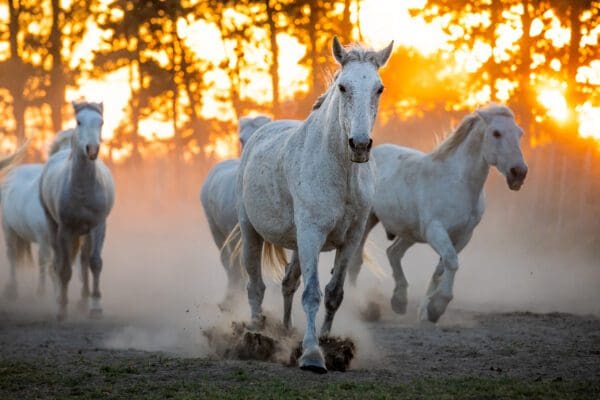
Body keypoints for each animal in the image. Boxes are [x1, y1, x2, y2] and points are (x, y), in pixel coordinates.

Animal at [1, 130, 72, 296]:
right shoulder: (43, 238)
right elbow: (46, 263)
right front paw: (43, 292)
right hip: (8, 230)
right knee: (12, 255)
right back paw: (12, 288)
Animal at [40, 101, 115, 322]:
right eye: (79, 121)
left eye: (101, 122)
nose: (92, 149)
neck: (82, 189)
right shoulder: (65, 229)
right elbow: (64, 269)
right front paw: (62, 309)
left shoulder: (98, 226)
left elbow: (95, 263)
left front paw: (96, 306)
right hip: (53, 226)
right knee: (57, 262)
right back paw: (60, 297)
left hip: (86, 232)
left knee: (83, 260)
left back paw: (84, 300)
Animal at [234, 37, 394, 372]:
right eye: (343, 86)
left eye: (379, 88)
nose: (360, 145)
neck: (340, 172)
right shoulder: (312, 234)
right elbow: (311, 294)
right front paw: (311, 355)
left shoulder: (351, 239)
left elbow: (333, 294)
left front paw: (327, 344)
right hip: (251, 232)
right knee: (256, 286)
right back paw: (255, 336)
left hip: (296, 244)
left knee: (287, 283)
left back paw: (284, 331)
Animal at [350, 105, 528, 322]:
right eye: (496, 133)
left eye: (519, 133)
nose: (519, 172)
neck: (459, 184)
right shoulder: (435, 230)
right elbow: (451, 261)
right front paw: (438, 305)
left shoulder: (463, 236)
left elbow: (441, 268)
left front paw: (426, 310)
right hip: (368, 220)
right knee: (356, 261)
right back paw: (359, 303)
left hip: (410, 232)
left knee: (393, 252)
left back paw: (399, 301)